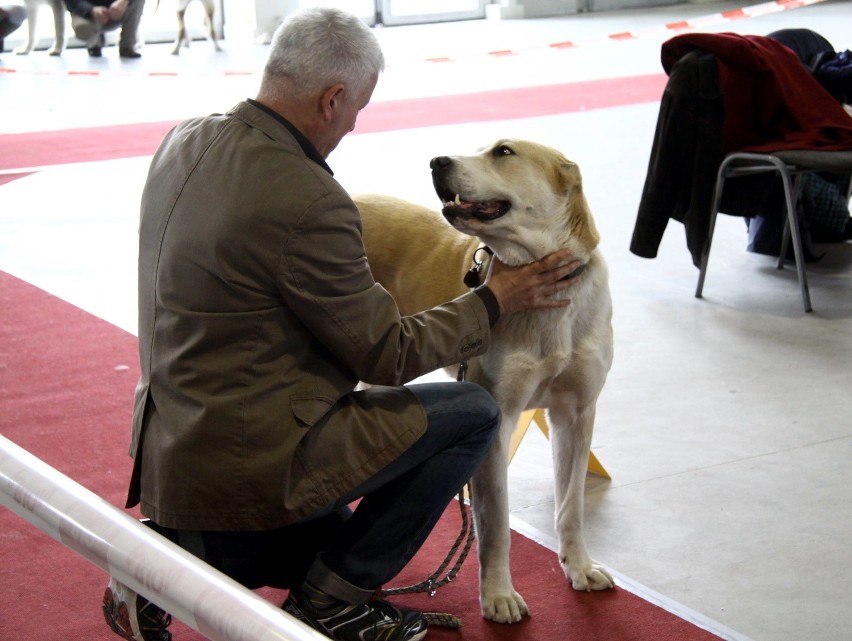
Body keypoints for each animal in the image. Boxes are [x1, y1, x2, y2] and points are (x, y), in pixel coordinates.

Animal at [356, 139, 616, 620]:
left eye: (503, 151)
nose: (437, 161)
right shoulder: (500, 421)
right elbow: (496, 524)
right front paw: (498, 595)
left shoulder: (576, 416)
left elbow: (571, 506)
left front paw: (579, 567)